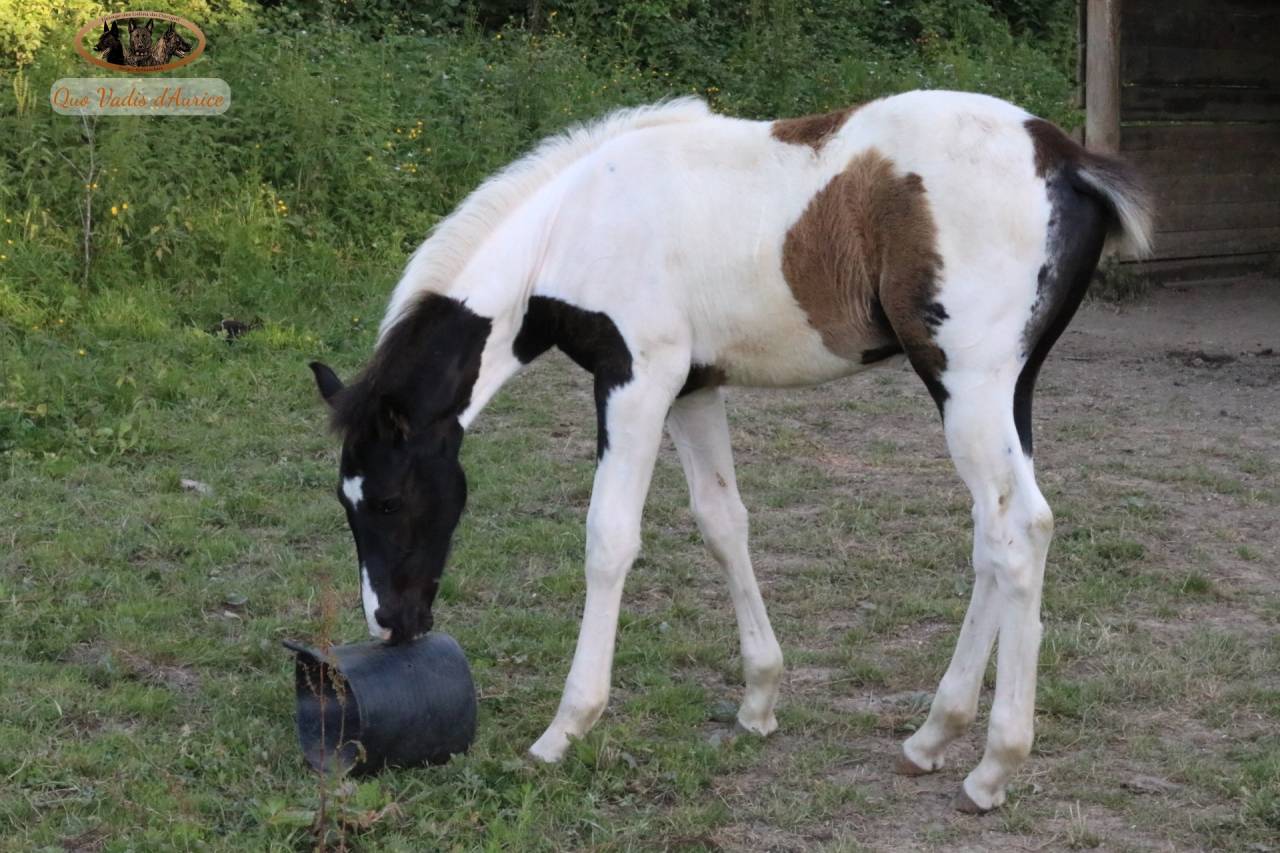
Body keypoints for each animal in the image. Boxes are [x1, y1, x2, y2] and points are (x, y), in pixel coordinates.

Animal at [309, 91, 1152, 813]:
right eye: (345, 503)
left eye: (386, 498)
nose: (392, 622)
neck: (574, 227)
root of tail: (1065, 160)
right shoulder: (693, 385)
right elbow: (722, 521)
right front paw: (759, 699)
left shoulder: (637, 377)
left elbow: (609, 537)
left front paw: (564, 728)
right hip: (1005, 388)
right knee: (993, 534)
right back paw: (931, 736)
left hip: (968, 381)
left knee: (1019, 531)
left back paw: (992, 768)